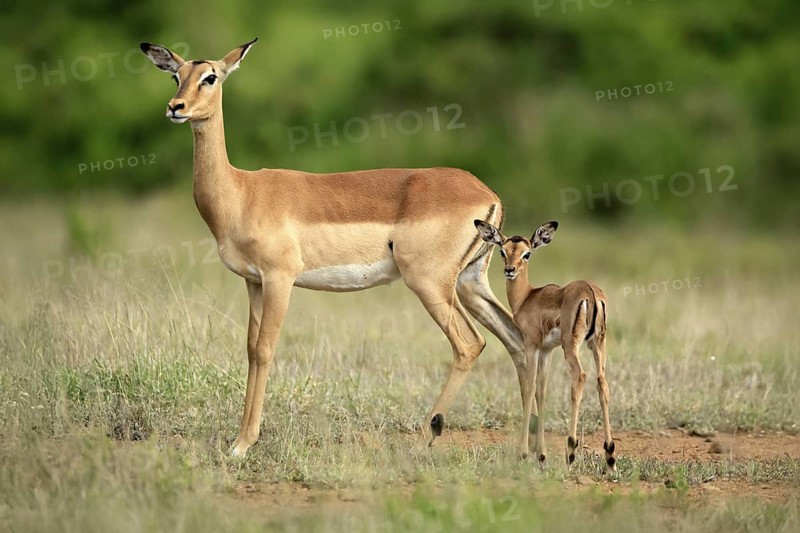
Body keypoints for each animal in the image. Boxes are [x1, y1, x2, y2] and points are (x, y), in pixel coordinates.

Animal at [139, 39, 530, 457]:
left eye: (210, 76)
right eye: (177, 76)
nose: (175, 107)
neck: (241, 192)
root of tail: (487, 194)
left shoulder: (280, 278)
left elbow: (265, 349)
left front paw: (243, 444)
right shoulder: (254, 282)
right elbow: (250, 350)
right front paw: (239, 438)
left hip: (430, 283)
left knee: (470, 344)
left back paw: (425, 437)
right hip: (470, 283)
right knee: (516, 338)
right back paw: (526, 447)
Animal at [475, 220, 616, 470]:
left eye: (527, 253)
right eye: (503, 251)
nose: (510, 270)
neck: (527, 297)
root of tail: (590, 292)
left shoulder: (531, 346)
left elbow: (529, 387)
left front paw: (523, 453)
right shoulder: (546, 350)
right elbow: (542, 390)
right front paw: (541, 454)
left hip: (571, 346)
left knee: (580, 377)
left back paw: (571, 451)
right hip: (597, 343)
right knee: (602, 382)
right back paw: (609, 454)